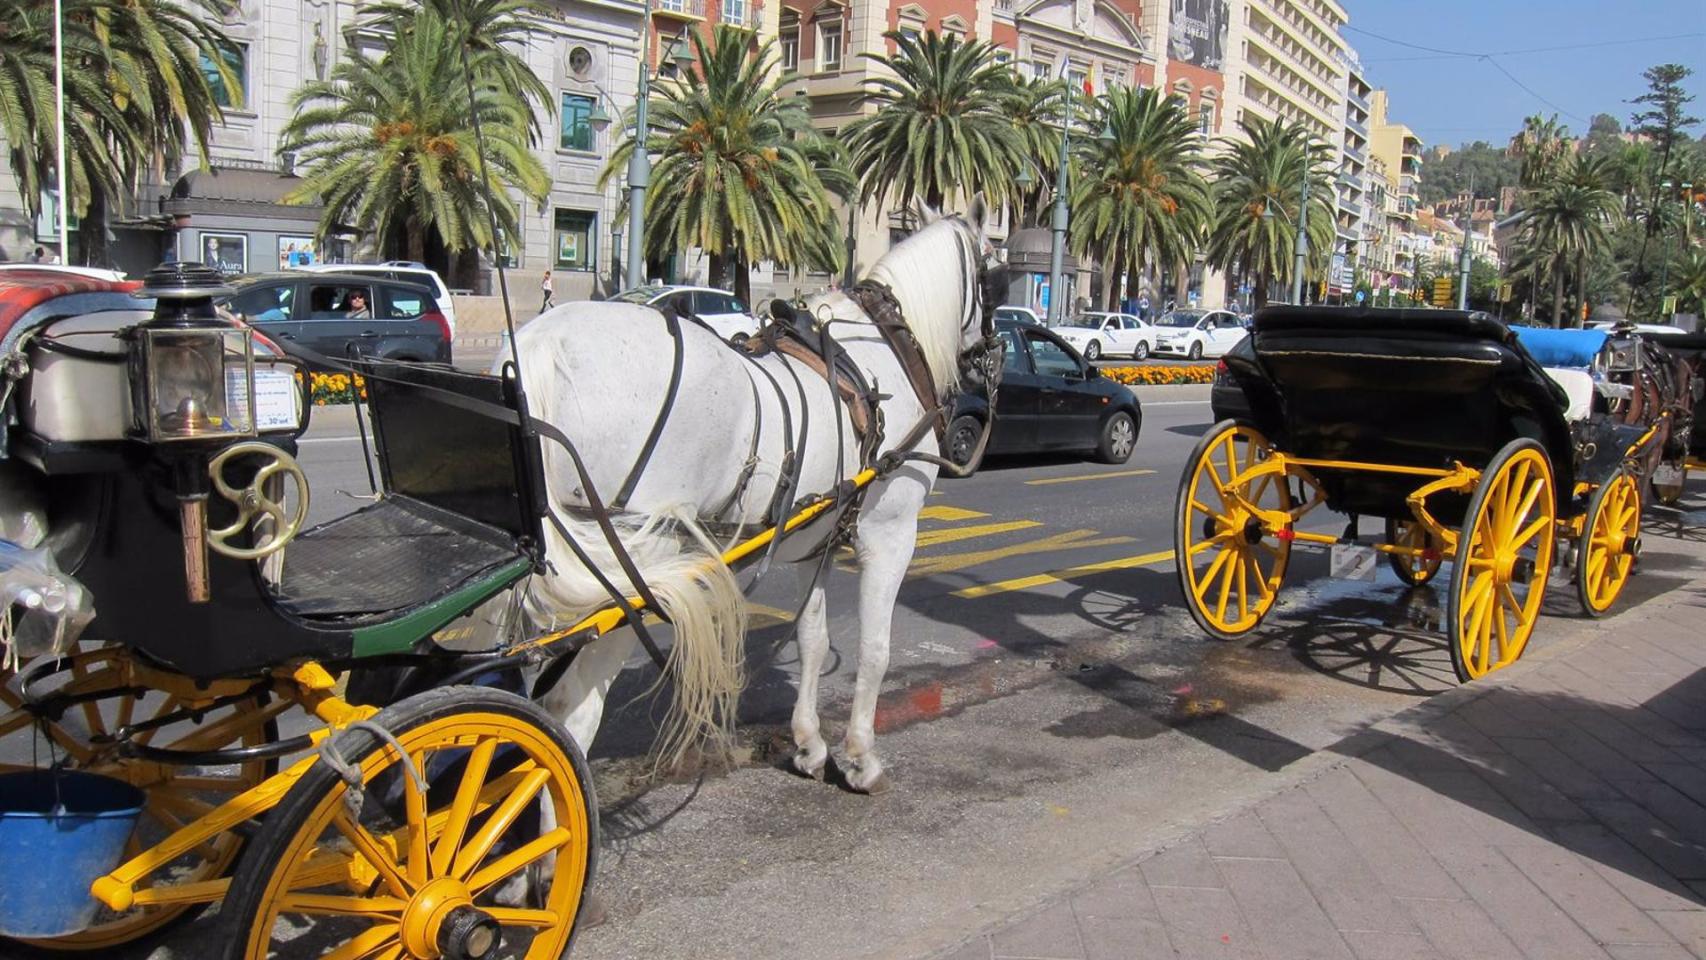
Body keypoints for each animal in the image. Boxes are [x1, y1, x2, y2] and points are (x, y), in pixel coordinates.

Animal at [506, 199, 998, 795]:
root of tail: (541, 346)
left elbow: (811, 638)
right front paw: (860, 757)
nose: (993, 350)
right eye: (998, 274)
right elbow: (876, 649)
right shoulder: (891, 535)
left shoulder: (816, 544)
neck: (882, 351)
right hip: (631, 575)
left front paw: (810, 745)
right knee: (565, 720)